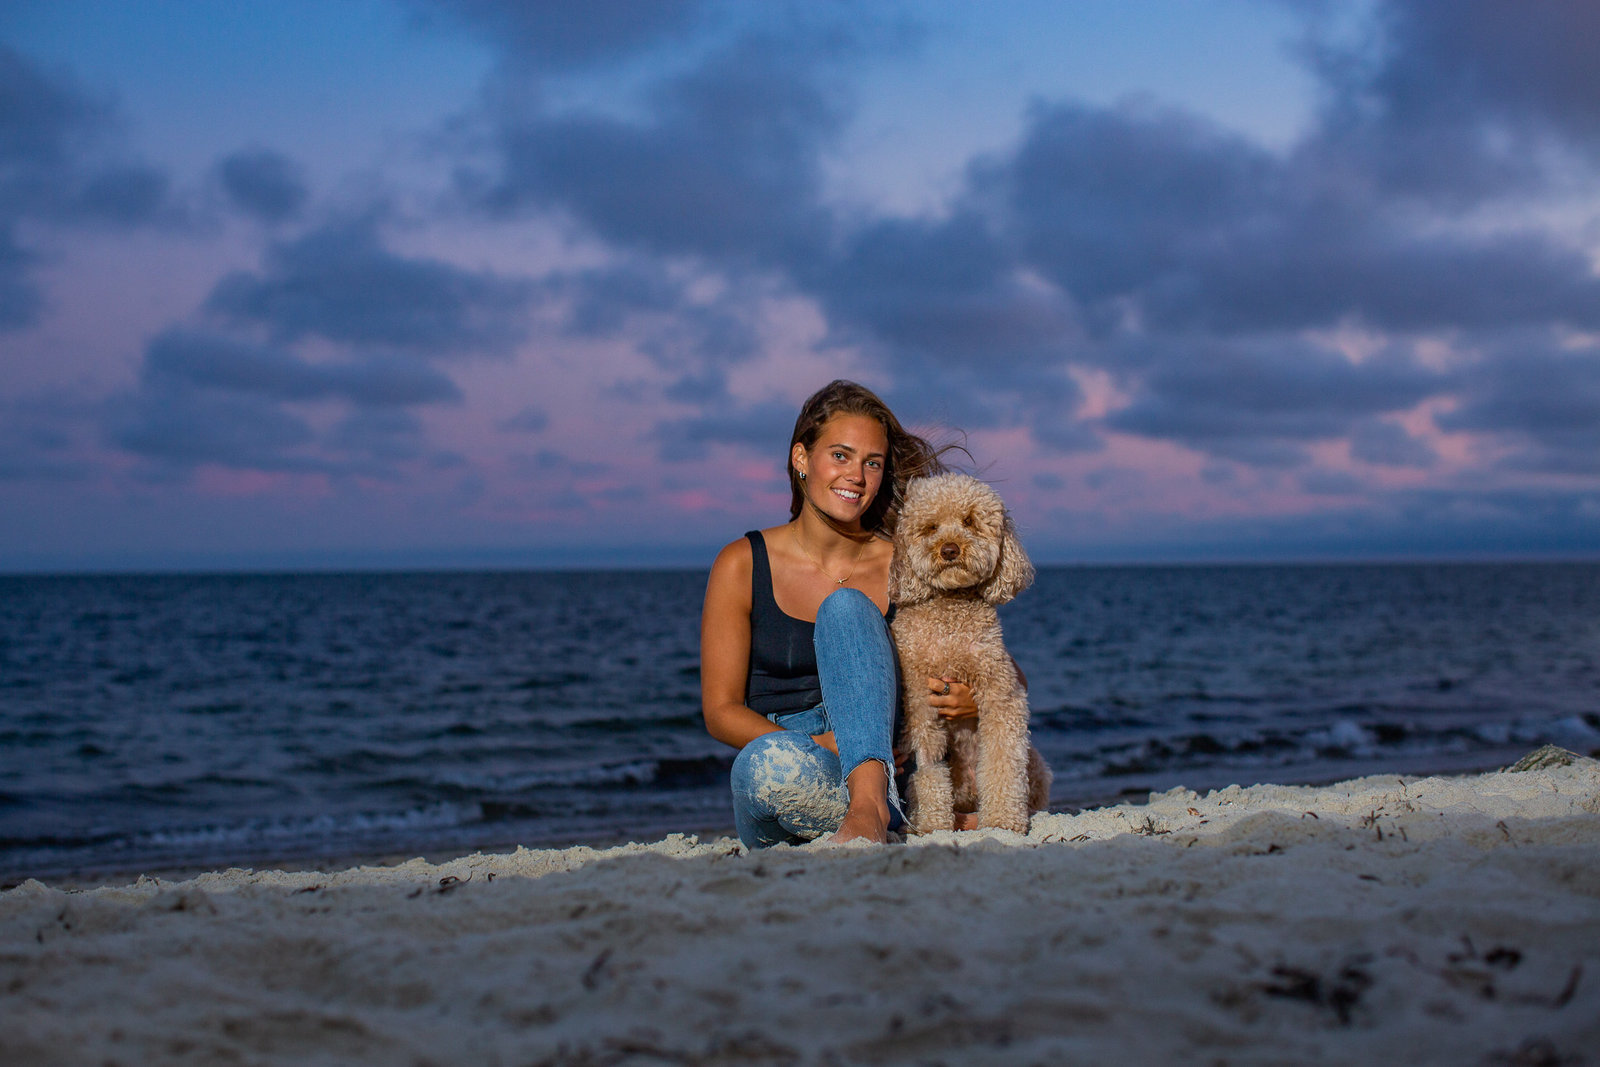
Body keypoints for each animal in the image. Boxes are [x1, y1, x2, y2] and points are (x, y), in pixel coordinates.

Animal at [889, 473, 1049, 831]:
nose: (949, 549)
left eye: (969, 521)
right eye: (931, 527)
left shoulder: (1002, 693)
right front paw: (933, 822)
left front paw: (1003, 820)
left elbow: (1004, 760)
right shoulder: (919, 700)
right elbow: (929, 766)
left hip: (1035, 762)